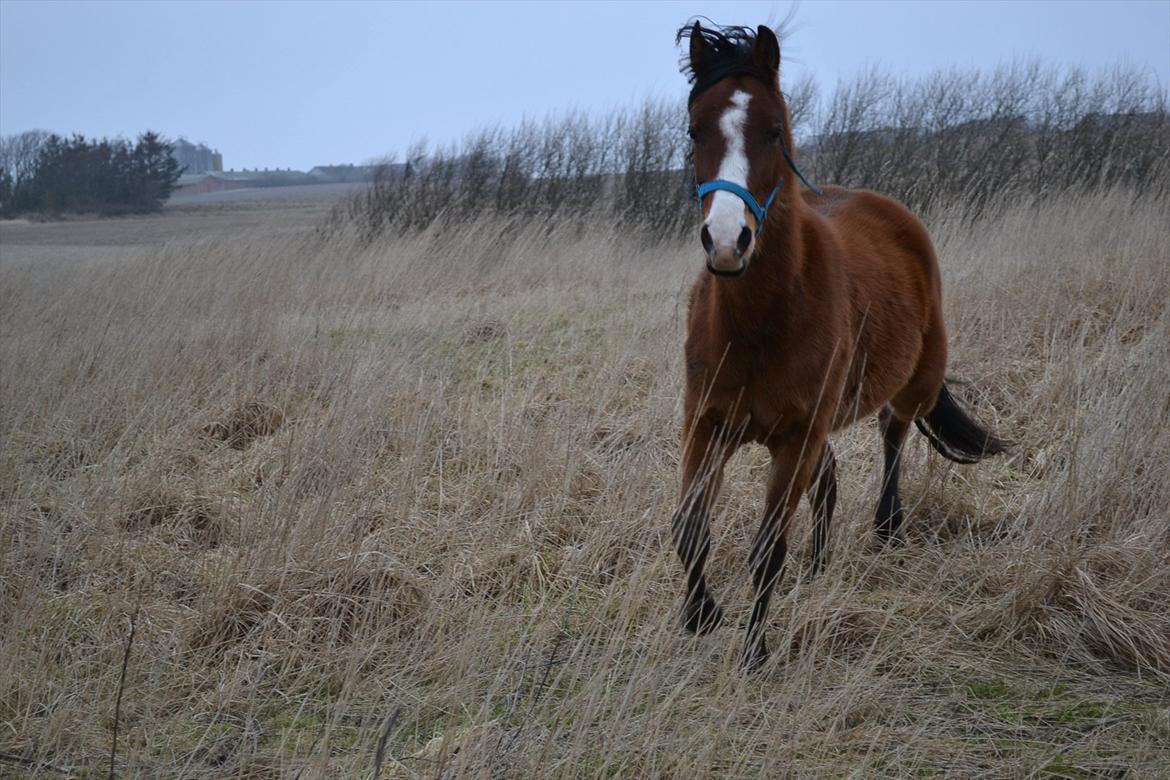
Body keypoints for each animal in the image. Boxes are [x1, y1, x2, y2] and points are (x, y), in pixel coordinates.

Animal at [673, 24, 1010, 673]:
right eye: (695, 129)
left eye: (774, 130)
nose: (727, 241)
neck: (759, 321)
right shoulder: (708, 424)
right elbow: (688, 528)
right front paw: (700, 616)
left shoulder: (795, 439)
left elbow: (766, 551)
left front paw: (754, 655)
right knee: (829, 480)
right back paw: (820, 565)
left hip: (910, 386)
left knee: (892, 436)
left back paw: (887, 528)